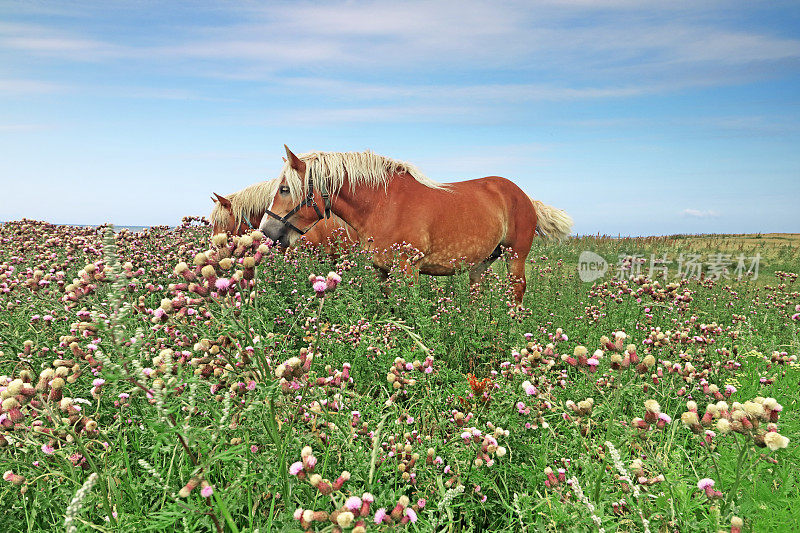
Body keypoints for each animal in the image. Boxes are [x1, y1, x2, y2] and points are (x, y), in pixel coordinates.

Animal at [260, 147, 572, 304]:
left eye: (285, 189)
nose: (266, 232)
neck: (382, 203)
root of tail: (523, 195)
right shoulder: (383, 270)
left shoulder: (408, 269)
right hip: (481, 263)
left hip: (515, 257)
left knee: (517, 293)